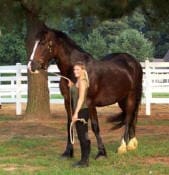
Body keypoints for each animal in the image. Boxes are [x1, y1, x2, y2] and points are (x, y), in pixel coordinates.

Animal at [27, 26, 143, 159]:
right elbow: (69, 124)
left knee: (128, 118)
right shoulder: (68, 102)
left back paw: (123, 146)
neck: (75, 73)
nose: (31, 66)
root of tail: (134, 62)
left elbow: (95, 126)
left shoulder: (90, 102)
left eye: (43, 43)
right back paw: (131, 144)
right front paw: (68, 152)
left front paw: (101, 153)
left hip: (131, 96)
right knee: (131, 118)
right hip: (121, 99)